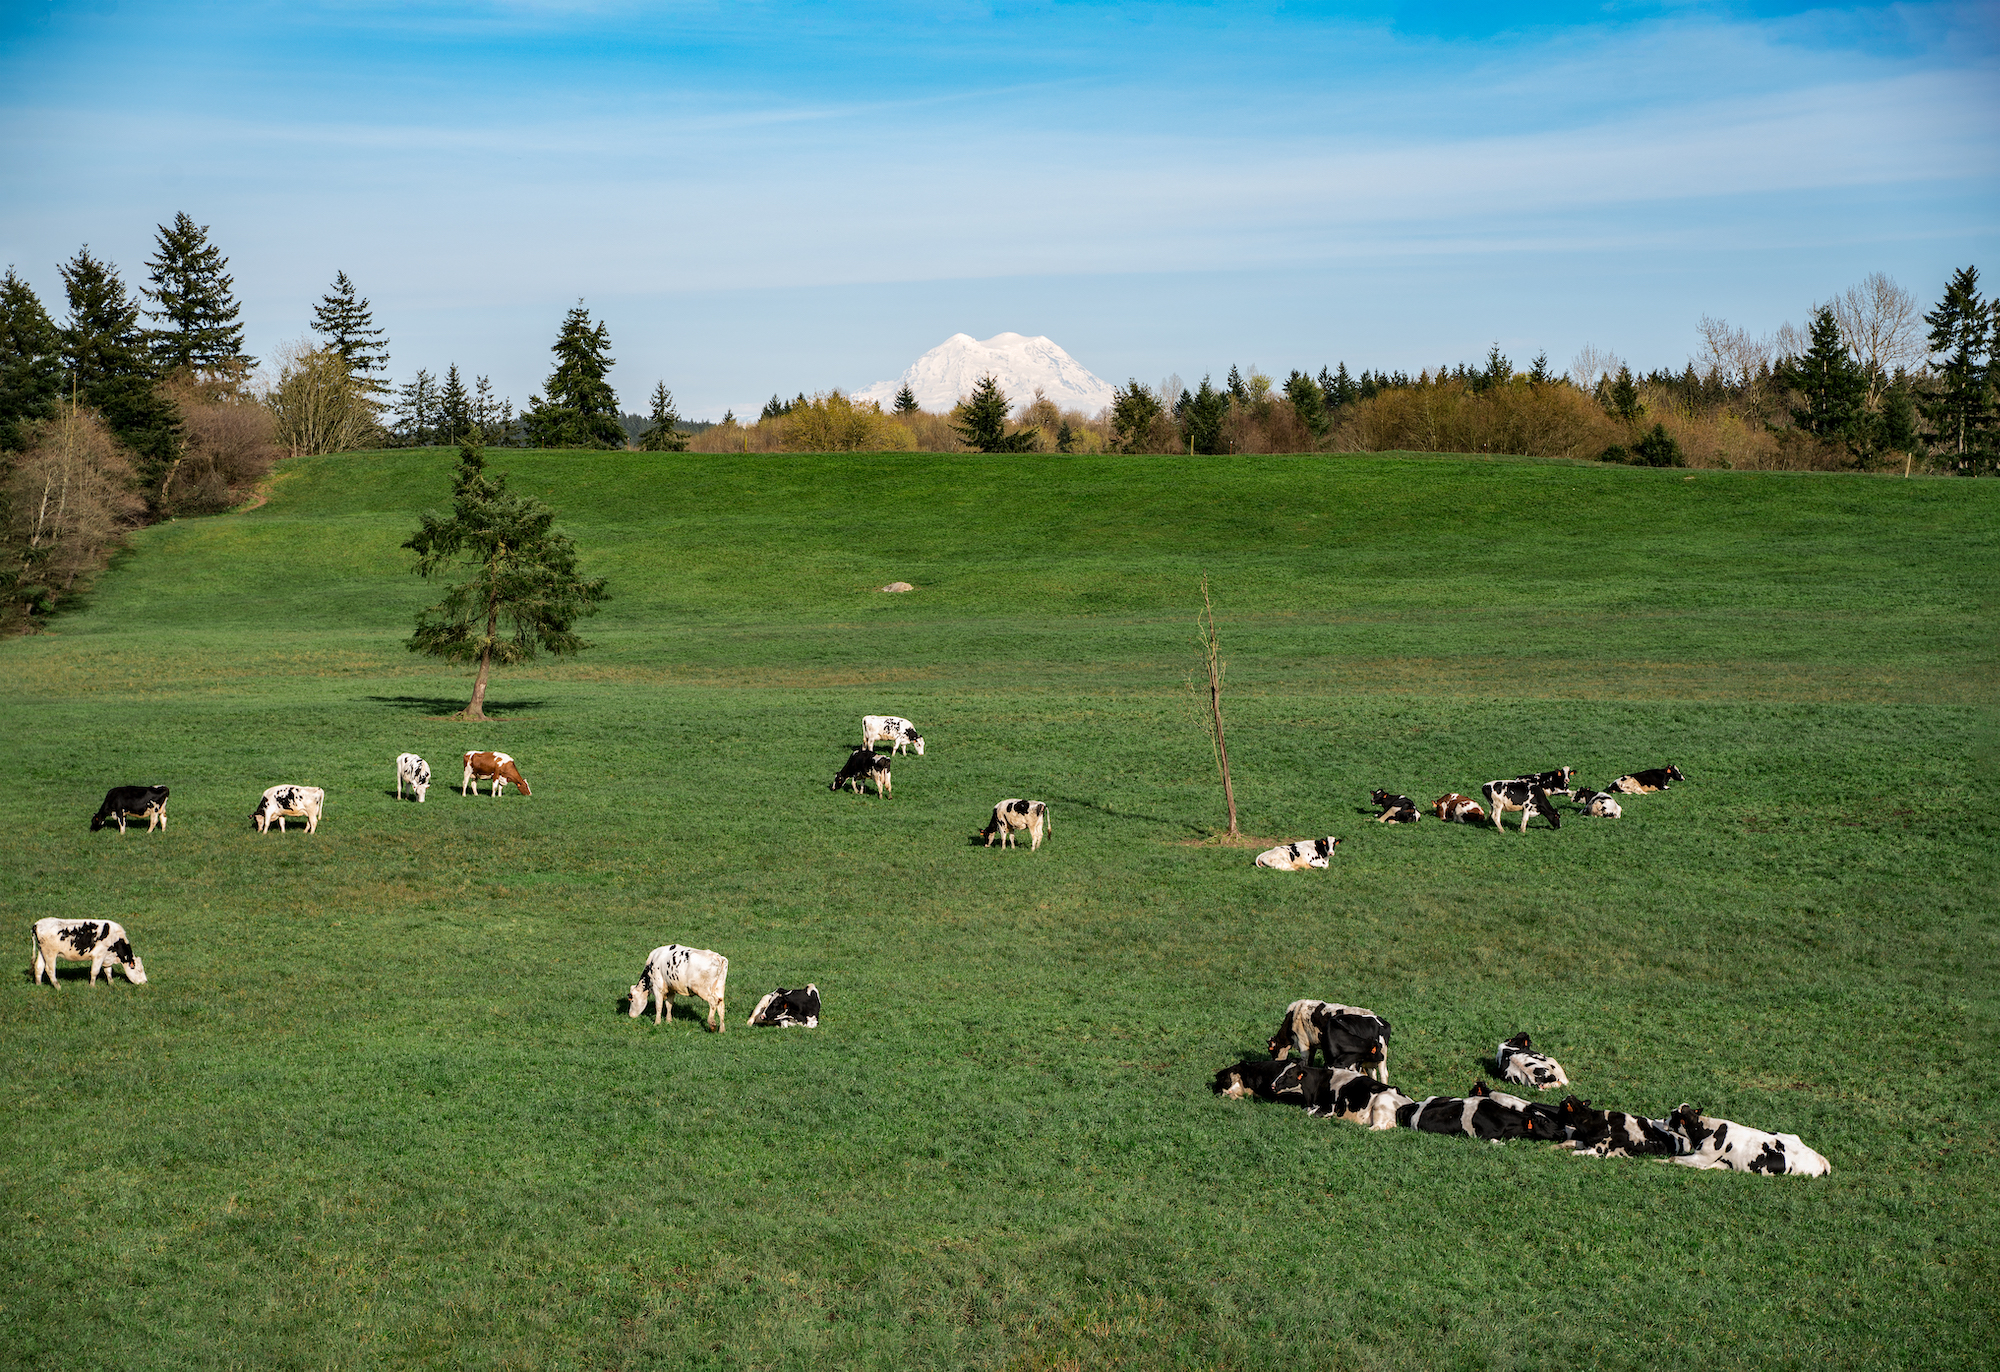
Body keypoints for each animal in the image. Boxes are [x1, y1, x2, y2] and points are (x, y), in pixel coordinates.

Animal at [1264, 1000, 1392, 1088]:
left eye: (1271, 1050)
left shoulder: (1303, 1043)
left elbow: (1305, 1062)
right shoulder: (1313, 1045)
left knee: (1381, 1074)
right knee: (1377, 1074)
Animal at [1544, 1096, 1688, 1160]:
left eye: (1561, 1107)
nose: (1554, 1117)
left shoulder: (1599, 1150)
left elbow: (1575, 1153)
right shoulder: (1587, 1142)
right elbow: (1569, 1142)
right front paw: (1552, 1147)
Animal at [1664, 1104, 1832, 1184]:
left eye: (1672, 1114)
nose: (1664, 1120)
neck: (1707, 1130)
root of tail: (1823, 1161)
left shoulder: (1702, 1159)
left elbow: (1673, 1159)